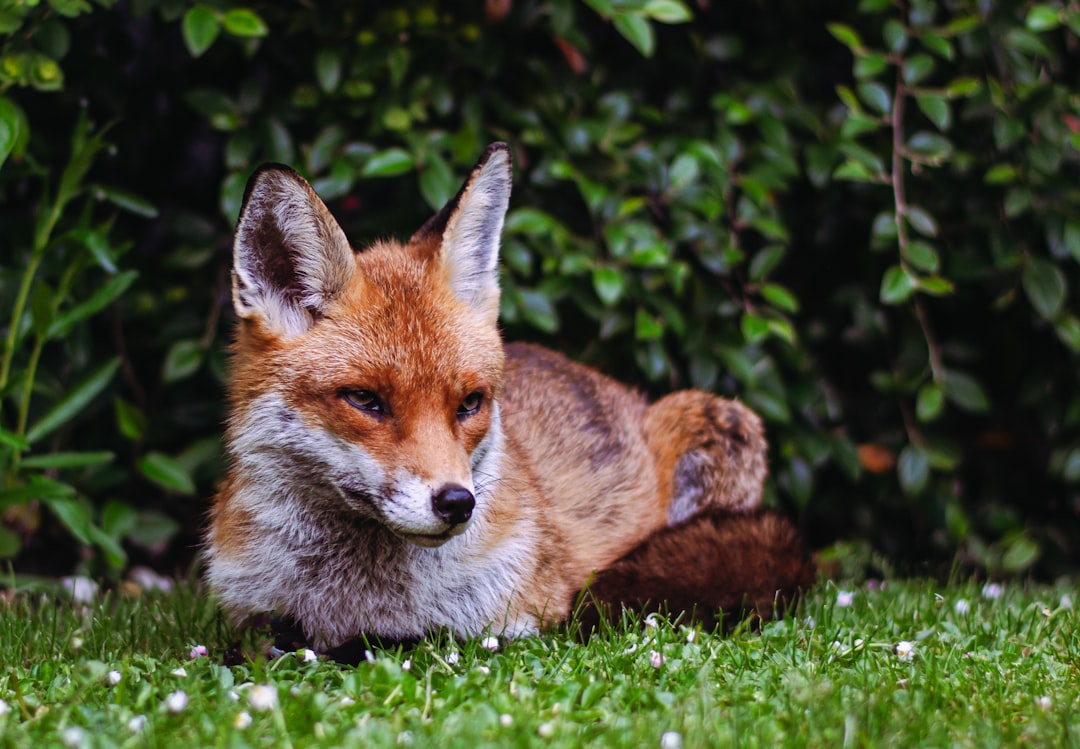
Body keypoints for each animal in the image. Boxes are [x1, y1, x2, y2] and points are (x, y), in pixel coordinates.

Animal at [204, 142, 814, 653]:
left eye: (470, 403)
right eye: (364, 399)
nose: (457, 502)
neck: (355, 604)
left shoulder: (513, 625)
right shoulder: (252, 615)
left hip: (721, 425)